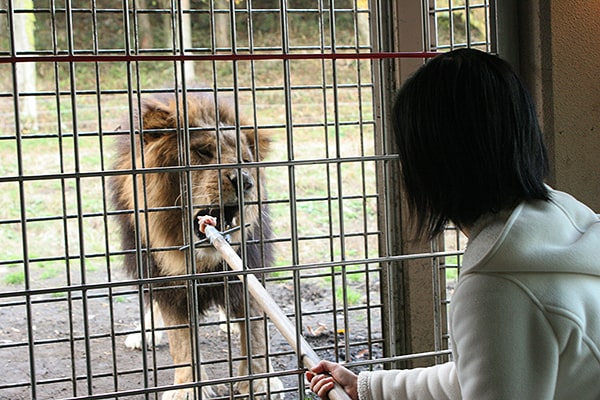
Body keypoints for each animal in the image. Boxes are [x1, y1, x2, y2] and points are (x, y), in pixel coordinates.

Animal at [109, 91, 284, 400]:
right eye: (203, 152)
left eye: (246, 159)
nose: (244, 180)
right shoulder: (168, 284)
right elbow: (181, 341)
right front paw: (189, 389)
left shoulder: (248, 267)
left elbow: (255, 329)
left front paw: (261, 382)